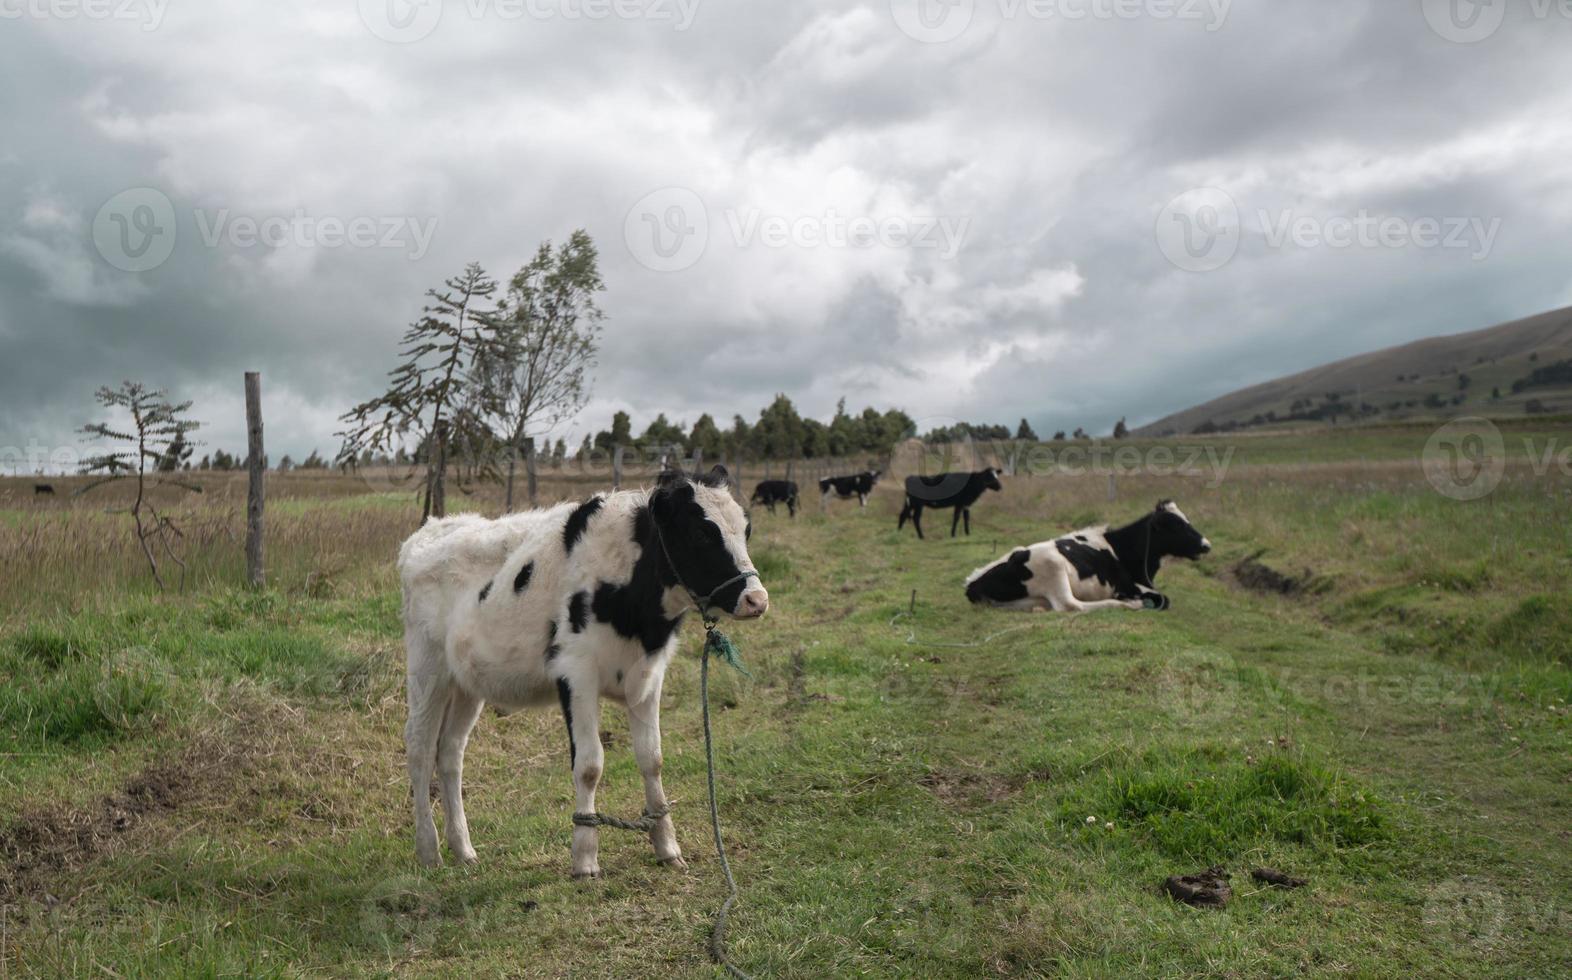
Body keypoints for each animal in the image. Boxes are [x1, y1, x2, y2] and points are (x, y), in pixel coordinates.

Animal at [396, 468, 770, 880]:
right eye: (701, 533)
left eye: (746, 529)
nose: (757, 600)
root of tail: (430, 529)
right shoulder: (575, 674)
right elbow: (590, 765)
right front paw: (585, 860)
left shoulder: (648, 676)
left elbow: (652, 758)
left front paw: (667, 846)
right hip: (427, 668)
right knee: (419, 747)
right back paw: (429, 850)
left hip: (466, 682)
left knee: (450, 751)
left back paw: (463, 848)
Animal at [962, 497, 1207, 613]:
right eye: (1176, 526)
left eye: (1187, 520)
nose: (1207, 545)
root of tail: (972, 582)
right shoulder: (1128, 586)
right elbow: (1164, 599)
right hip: (1053, 565)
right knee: (1072, 605)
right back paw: (1129, 604)